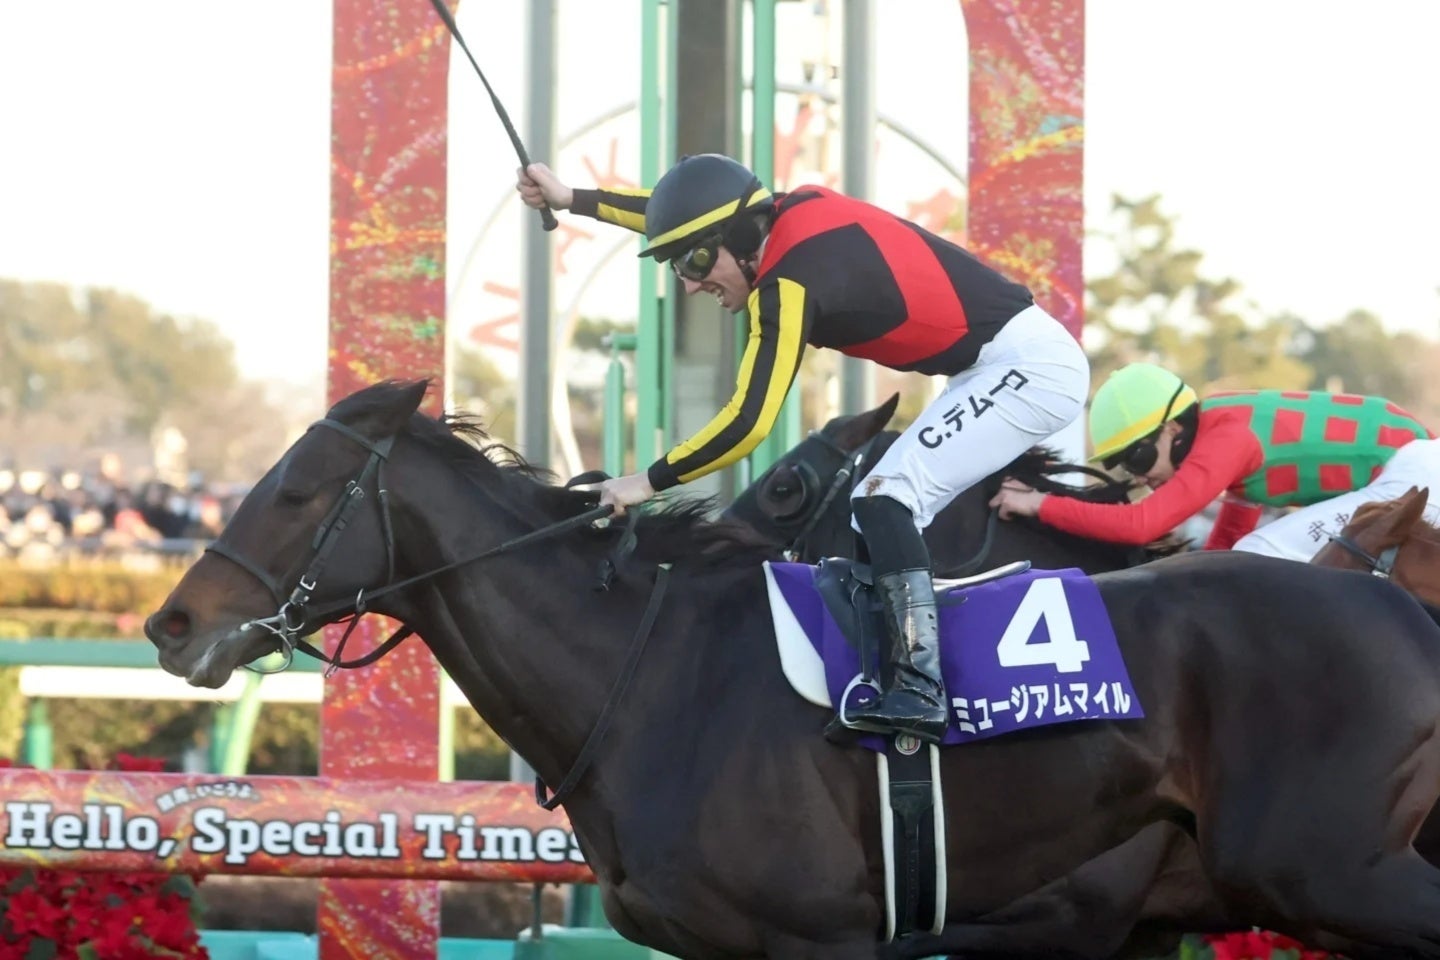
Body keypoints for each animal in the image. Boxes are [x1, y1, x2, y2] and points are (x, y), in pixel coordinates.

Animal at [145, 380, 1440, 960]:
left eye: (297, 491)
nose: (171, 622)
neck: (649, 676)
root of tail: (1402, 608)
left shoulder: (833, 938)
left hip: (1326, 869)